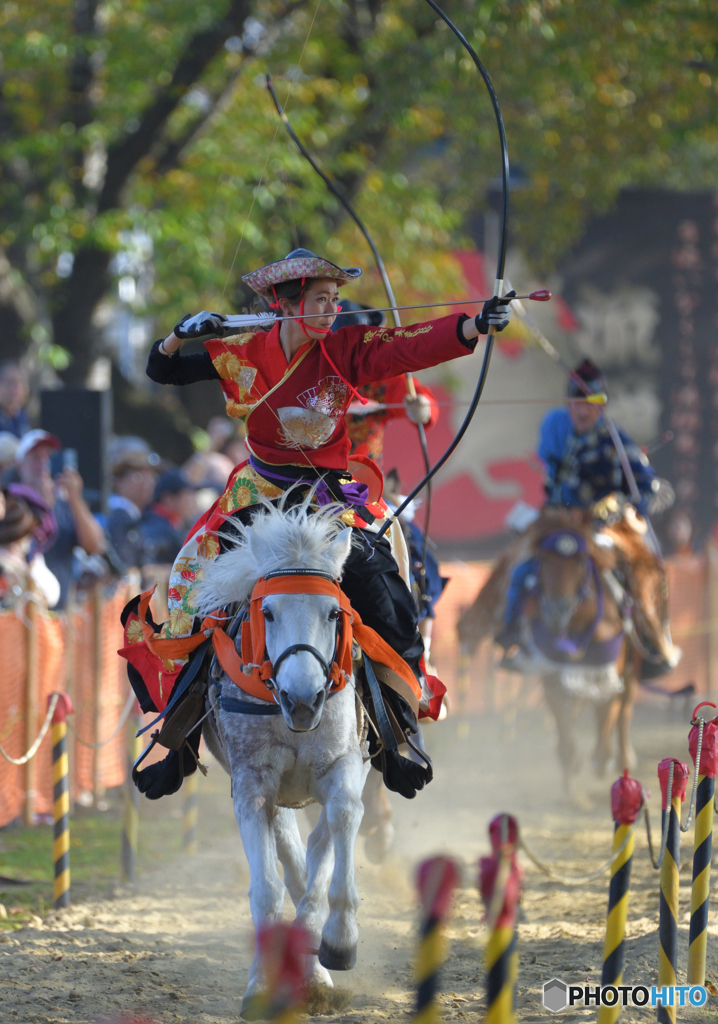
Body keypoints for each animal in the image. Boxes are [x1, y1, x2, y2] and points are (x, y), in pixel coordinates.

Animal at [197, 501, 368, 1015]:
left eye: (333, 612)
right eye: (267, 612)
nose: (303, 699)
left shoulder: (344, 765)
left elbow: (340, 824)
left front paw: (338, 939)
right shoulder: (252, 783)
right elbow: (269, 887)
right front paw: (259, 984)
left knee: (314, 849)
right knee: (292, 858)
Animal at [456, 509, 635, 790]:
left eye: (581, 563)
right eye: (542, 561)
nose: (557, 609)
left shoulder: (607, 672)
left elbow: (608, 711)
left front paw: (602, 759)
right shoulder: (553, 676)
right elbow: (565, 730)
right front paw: (570, 774)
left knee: (625, 706)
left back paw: (622, 757)